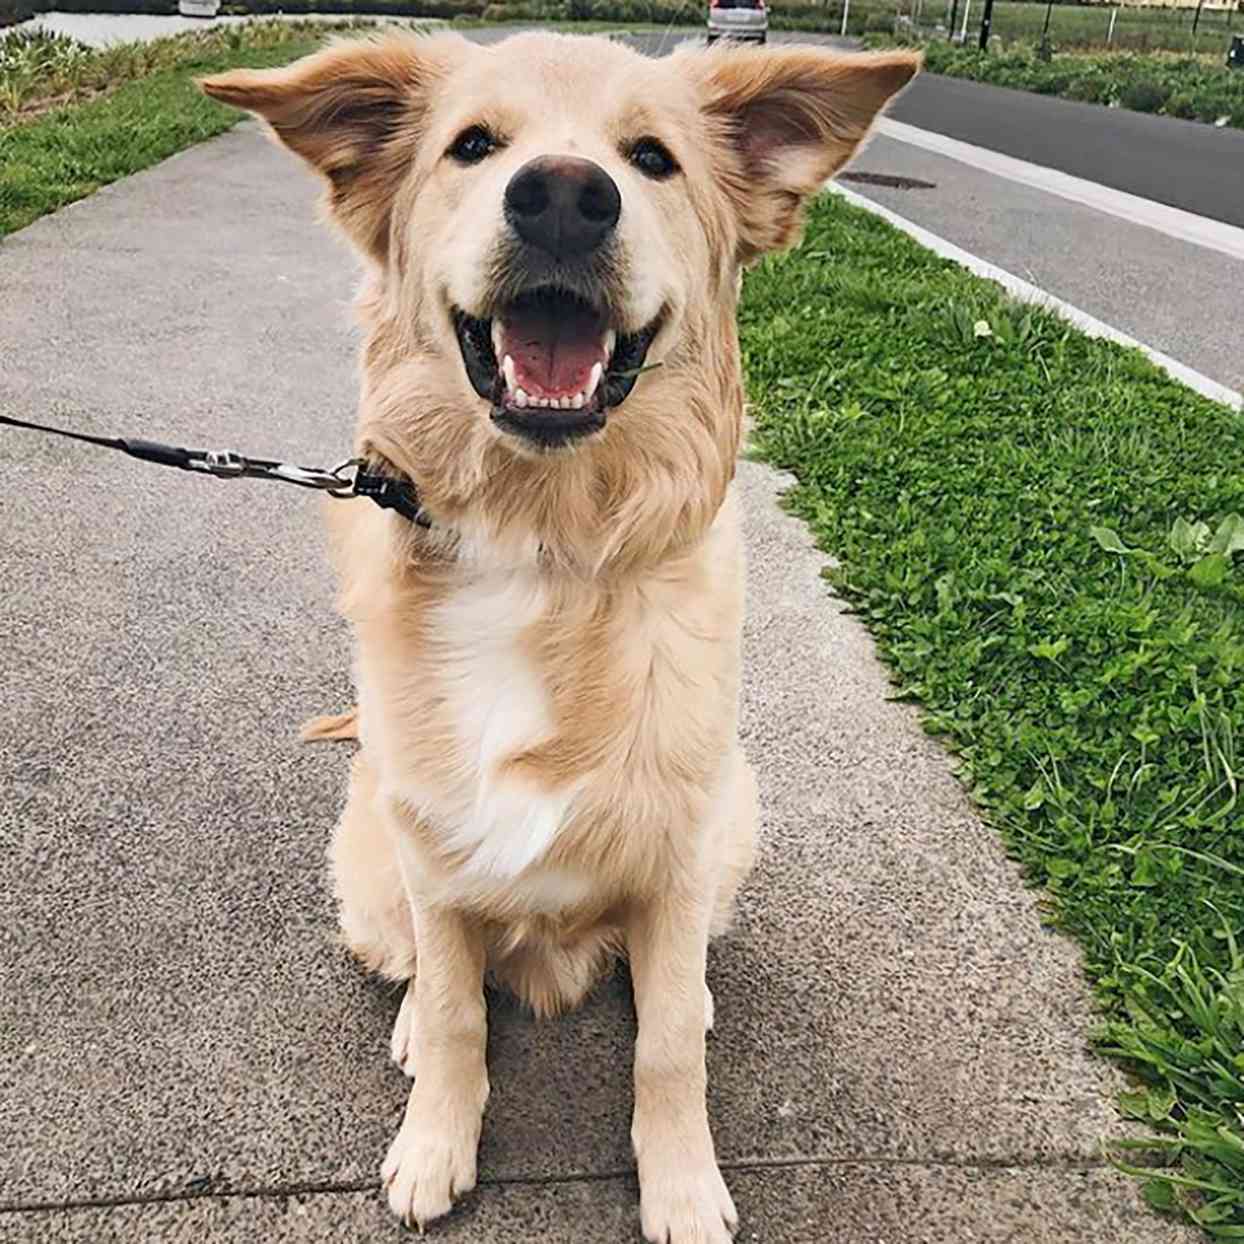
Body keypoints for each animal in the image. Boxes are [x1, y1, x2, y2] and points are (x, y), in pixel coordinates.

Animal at [201, 31, 915, 1244]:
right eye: (472, 145)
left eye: (651, 156)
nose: (567, 199)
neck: (543, 545)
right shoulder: (430, 846)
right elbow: (455, 1009)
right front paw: (434, 1142)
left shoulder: (678, 847)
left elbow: (664, 1044)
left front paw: (682, 1183)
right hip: (369, 855)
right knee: (426, 969)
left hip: (736, 806)